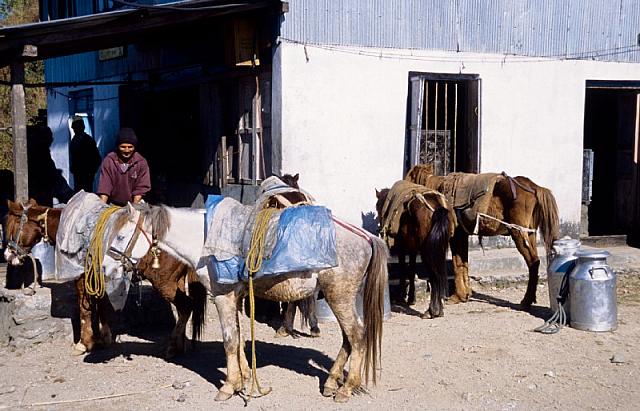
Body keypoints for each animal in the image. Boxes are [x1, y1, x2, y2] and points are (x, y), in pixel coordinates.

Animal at [3, 200, 205, 358]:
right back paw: (179, 345)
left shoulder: (81, 277)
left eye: (12, 227)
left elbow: (85, 308)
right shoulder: (97, 278)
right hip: (176, 281)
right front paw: (104, 337)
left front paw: (83, 343)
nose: (7, 255)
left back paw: (172, 346)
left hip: (164, 282)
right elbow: (101, 304)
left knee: (186, 306)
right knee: (184, 308)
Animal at [110, 176, 388, 402]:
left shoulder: (222, 296)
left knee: (356, 335)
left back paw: (346, 388)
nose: (109, 266)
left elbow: (230, 340)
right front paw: (243, 378)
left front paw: (228, 386)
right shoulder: (234, 296)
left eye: (121, 236)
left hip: (338, 296)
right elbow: (239, 336)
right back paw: (331, 382)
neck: (206, 239)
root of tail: (365, 236)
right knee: (349, 338)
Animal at [376, 180, 456, 318]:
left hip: (427, 252)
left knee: (433, 276)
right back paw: (439, 308)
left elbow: (403, 268)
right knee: (439, 272)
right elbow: (412, 269)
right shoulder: (412, 248)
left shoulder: (402, 247)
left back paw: (433, 310)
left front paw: (402, 296)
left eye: (377, 207)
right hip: (439, 248)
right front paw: (411, 298)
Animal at [404, 166, 560, 310]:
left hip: (518, 233)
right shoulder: (462, 235)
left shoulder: (456, 236)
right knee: (535, 262)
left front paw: (458, 296)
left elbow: (457, 264)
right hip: (529, 234)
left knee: (533, 263)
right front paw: (464, 294)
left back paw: (526, 301)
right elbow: (463, 262)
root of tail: (534, 187)